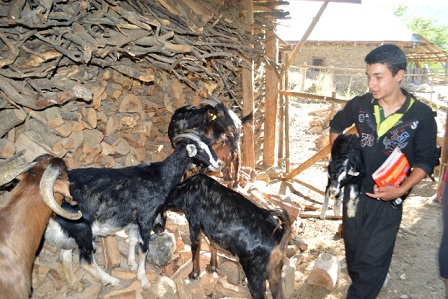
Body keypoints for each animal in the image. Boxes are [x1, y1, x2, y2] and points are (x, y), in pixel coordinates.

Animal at [43, 132, 222, 290]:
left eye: (210, 145)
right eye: (201, 150)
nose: (219, 164)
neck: (159, 176)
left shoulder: (134, 223)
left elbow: (133, 240)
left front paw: (131, 264)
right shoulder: (146, 219)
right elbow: (143, 249)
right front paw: (143, 279)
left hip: (70, 231)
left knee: (65, 256)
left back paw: (75, 284)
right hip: (82, 229)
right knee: (85, 261)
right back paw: (112, 280)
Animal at [161, 175, 290, 298]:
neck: (186, 188)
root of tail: (280, 236)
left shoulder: (194, 226)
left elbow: (195, 252)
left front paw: (194, 274)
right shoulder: (211, 232)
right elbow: (212, 247)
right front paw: (212, 267)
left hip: (255, 278)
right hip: (274, 276)